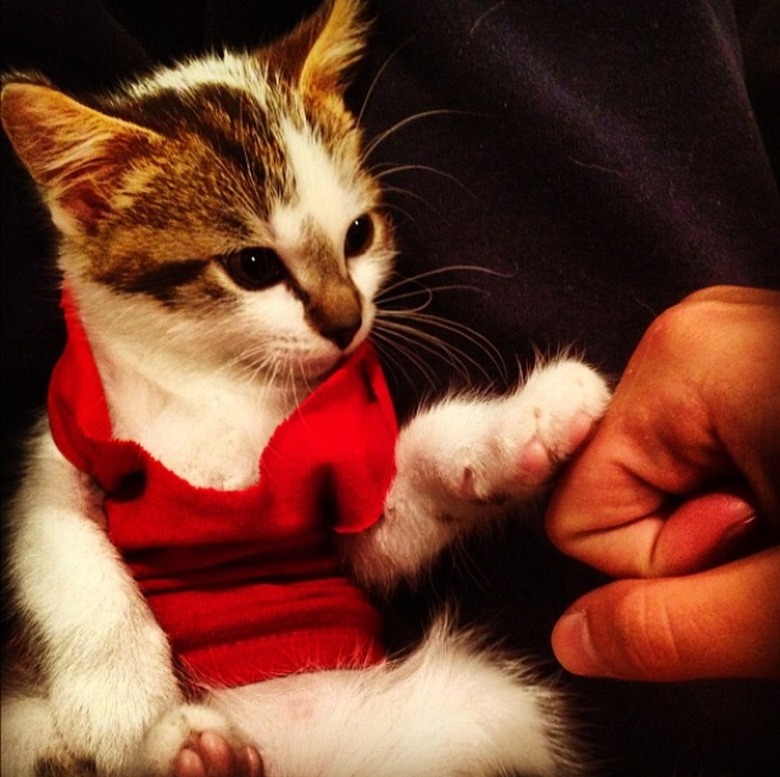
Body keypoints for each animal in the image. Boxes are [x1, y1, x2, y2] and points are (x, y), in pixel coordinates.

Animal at [0, 1, 608, 776]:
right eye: (254, 266)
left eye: (359, 234)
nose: (349, 320)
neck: (220, 382)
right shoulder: (62, 446)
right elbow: (61, 547)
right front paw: (121, 711)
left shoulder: (346, 520)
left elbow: (397, 519)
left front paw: (523, 427)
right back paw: (190, 750)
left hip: (481, 710)